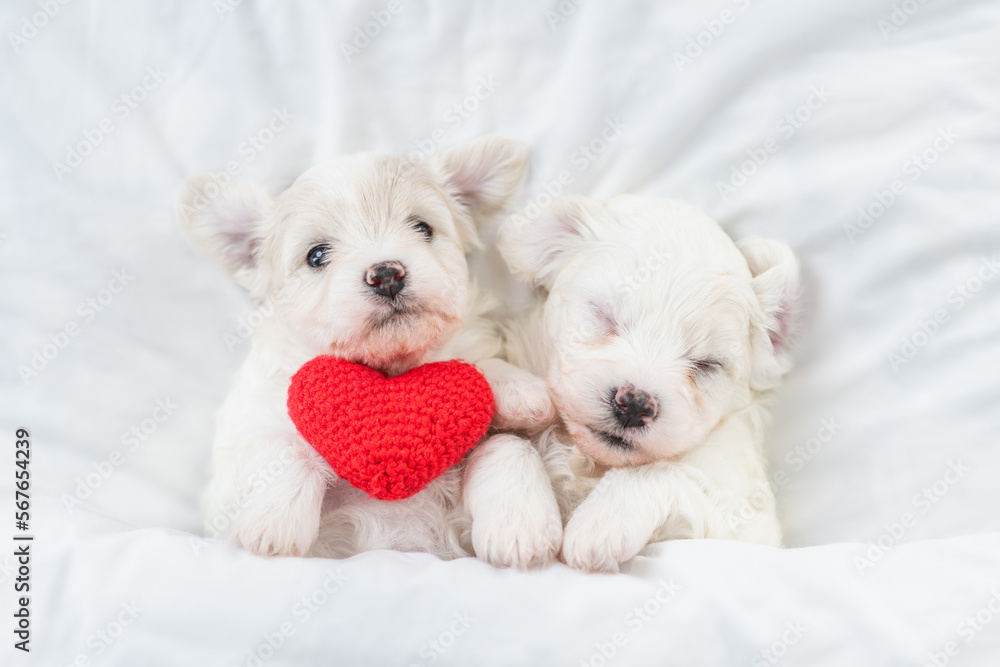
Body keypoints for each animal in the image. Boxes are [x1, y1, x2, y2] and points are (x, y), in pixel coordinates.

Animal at [178, 137, 564, 568]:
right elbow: (288, 447)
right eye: (316, 255)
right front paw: (273, 522)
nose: (387, 273)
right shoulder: (243, 449)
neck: (390, 367)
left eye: (422, 228)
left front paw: (521, 526)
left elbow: (506, 441)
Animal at [498, 194, 796, 576]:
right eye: (604, 316)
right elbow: (508, 438)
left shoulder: (748, 523)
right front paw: (517, 520)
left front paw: (600, 524)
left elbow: (659, 471)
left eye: (707, 364)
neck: (593, 462)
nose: (635, 404)